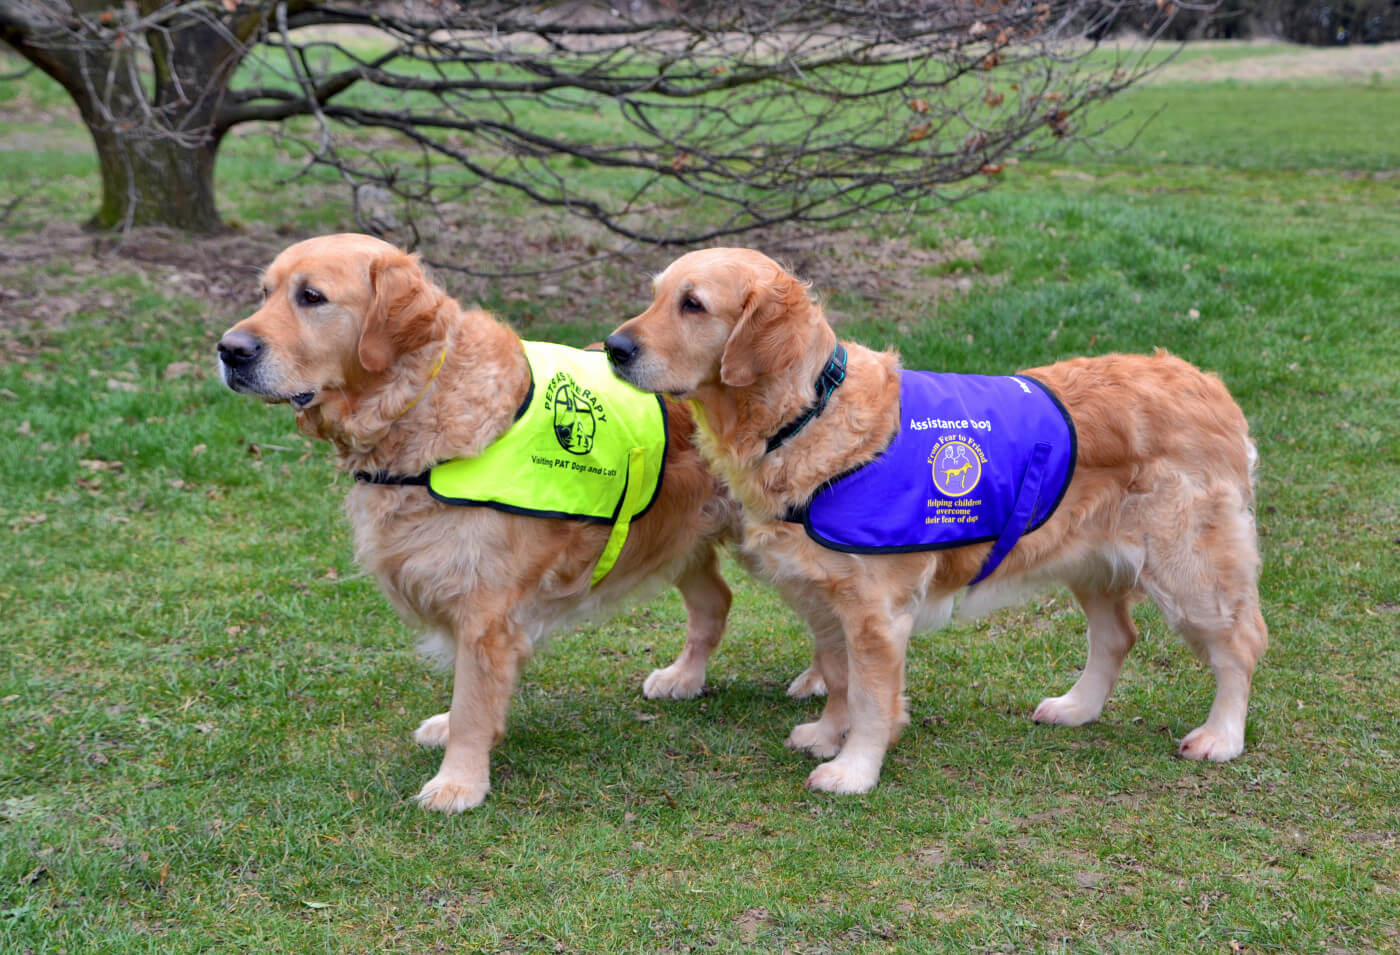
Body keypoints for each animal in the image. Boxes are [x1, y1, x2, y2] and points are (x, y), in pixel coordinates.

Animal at [214, 232, 823, 812]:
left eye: (312, 297)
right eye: (265, 293)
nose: (229, 350)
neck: (423, 400)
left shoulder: (485, 605)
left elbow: (472, 698)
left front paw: (459, 782)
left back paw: (821, 686)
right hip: (678, 534)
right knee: (715, 601)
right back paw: (684, 677)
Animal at [602, 247, 1271, 795]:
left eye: (692, 304)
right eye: (655, 294)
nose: (614, 348)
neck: (806, 417)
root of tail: (1207, 382)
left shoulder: (876, 612)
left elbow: (871, 699)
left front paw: (854, 769)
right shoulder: (826, 600)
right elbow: (839, 679)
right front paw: (826, 734)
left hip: (1190, 571)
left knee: (1239, 645)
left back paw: (1221, 736)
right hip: (1091, 560)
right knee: (1116, 637)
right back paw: (1077, 707)